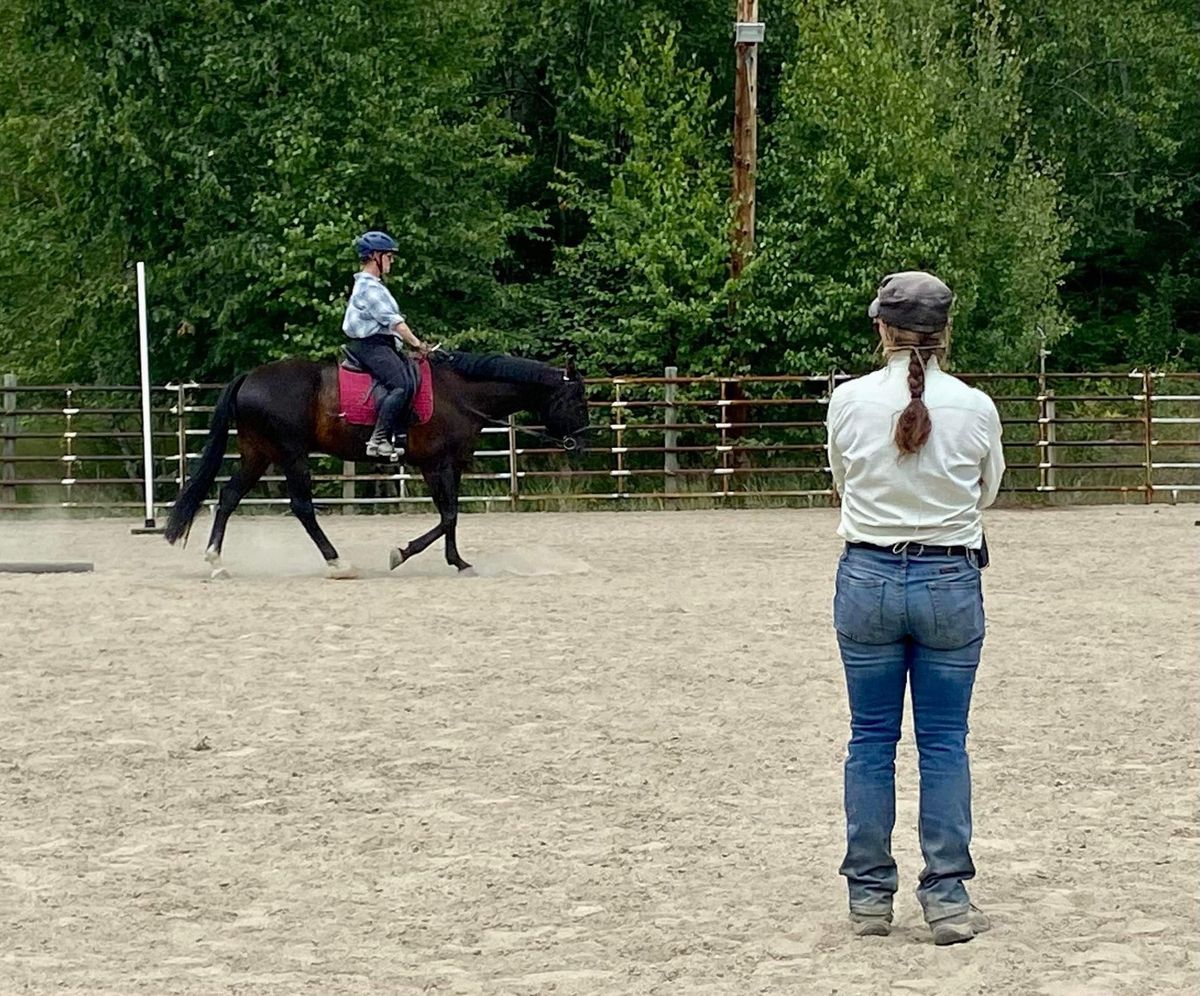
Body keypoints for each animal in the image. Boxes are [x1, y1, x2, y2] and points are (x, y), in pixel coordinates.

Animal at [162, 348, 592, 576]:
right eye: (576, 400)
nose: (582, 442)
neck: (460, 393)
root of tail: (250, 377)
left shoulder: (448, 465)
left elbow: (451, 516)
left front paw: (458, 561)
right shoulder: (436, 465)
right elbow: (448, 516)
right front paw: (401, 554)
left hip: (258, 453)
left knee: (228, 497)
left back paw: (216, 560)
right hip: (291, 453)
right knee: (302, 507)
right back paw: (337, 562)